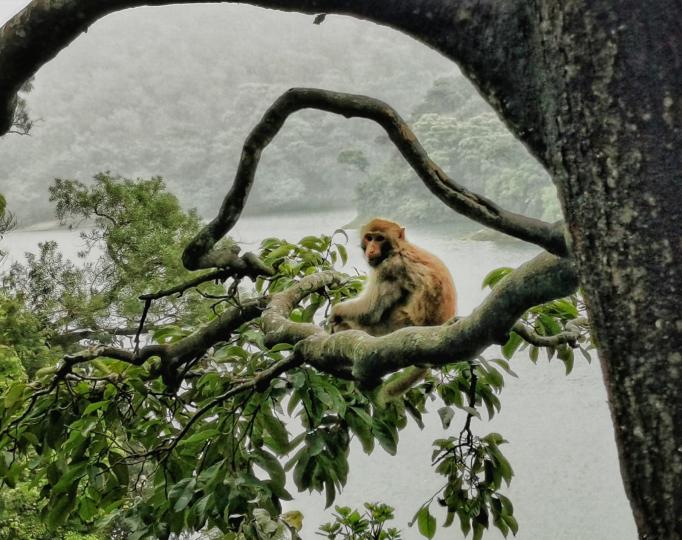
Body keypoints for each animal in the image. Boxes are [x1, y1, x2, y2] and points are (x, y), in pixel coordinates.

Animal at [326, 217, 454, 398]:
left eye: (380, 239)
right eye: (369, 238)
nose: (371, 249)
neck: (398, 249)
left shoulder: (388, 268)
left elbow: (370, 310)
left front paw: (336, 311)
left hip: (399, 323)